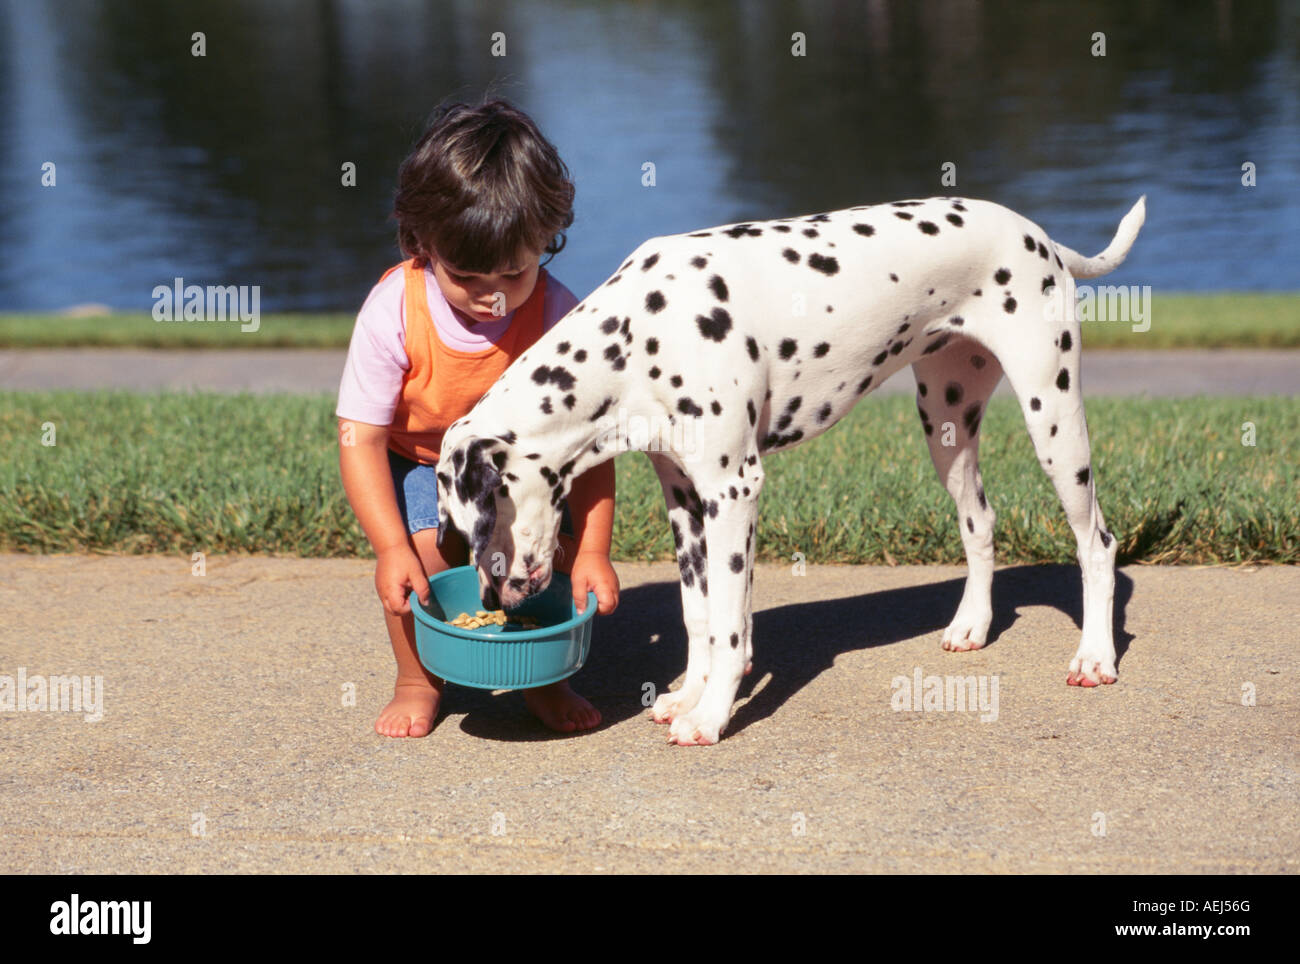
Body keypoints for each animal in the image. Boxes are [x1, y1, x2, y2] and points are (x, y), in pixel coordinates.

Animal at [439, 196, 1149, 748]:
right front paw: (689, 695)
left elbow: (729, 627)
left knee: (1097, 543)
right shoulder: (685, 500)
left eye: (479, 525)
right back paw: (972, 626)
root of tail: (1041, 236)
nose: (490, 603)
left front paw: (711, 717)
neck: (638, 333)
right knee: (980, 523)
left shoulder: (733, 491)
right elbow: (699, 617)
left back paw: (1095, 656)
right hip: (947, 424)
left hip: (1053, 420)